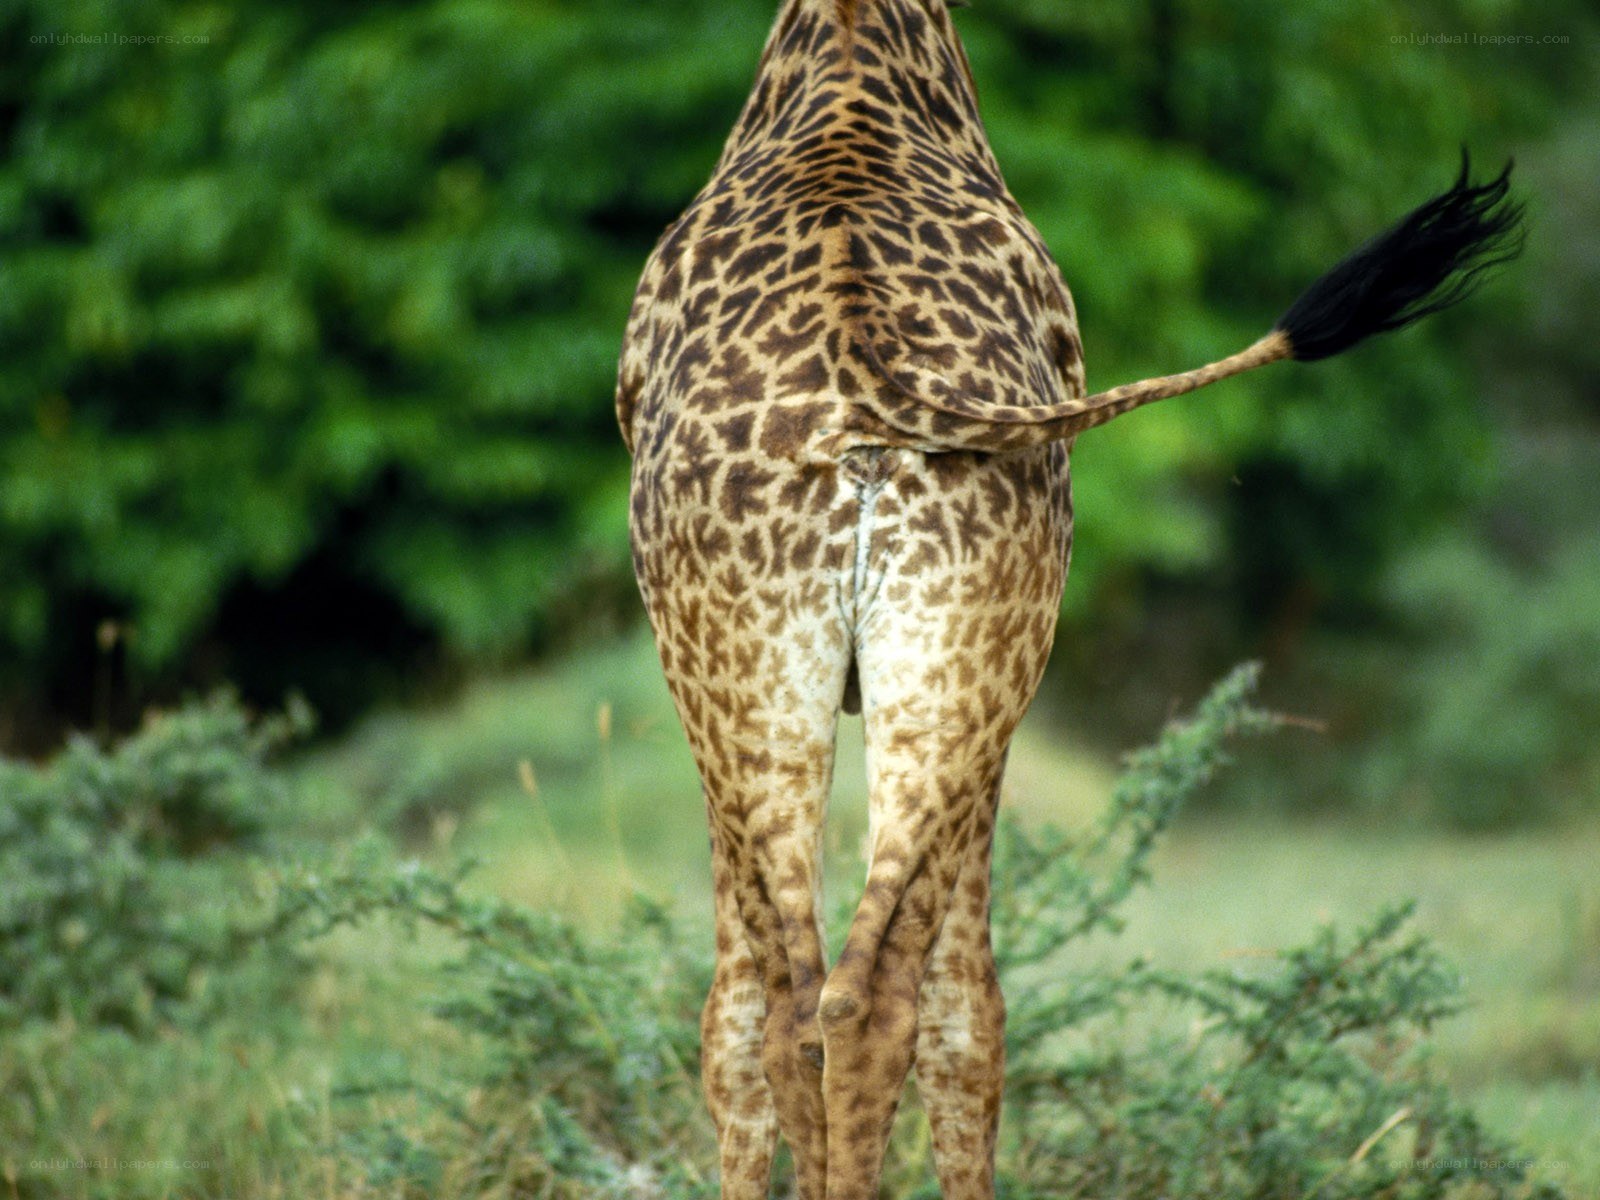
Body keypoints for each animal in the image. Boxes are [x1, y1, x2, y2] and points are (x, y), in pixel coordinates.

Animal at [615, 2, 1521, 1196]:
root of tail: (866, 382)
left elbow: (736, 1016)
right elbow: (947, 1009)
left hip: (764, 685)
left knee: (797, 1003)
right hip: (950, 674)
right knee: (883, 1001)